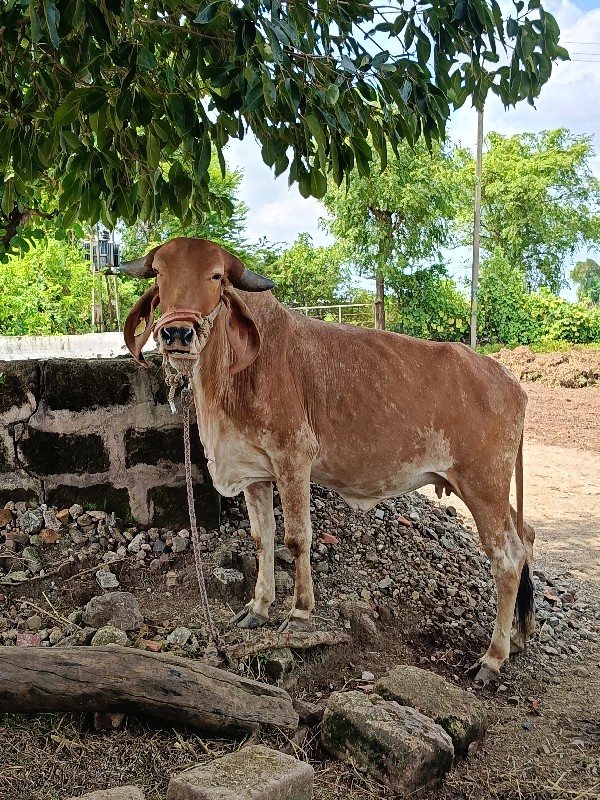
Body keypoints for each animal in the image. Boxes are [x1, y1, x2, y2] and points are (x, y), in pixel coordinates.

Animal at [120, 236, 536, 680]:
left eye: (216, 276)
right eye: (159, 274)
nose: (177, 333)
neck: (233, 372)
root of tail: (511, 382)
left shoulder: (293, 458)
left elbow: (296, 538)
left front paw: (299, 613)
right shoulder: (255, 473)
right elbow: (262, 537)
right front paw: (258, 607)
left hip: (483, 486)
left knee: (507, 559)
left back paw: (494, 656)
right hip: (487, 489)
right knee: (526, 536)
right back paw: (520, 635)